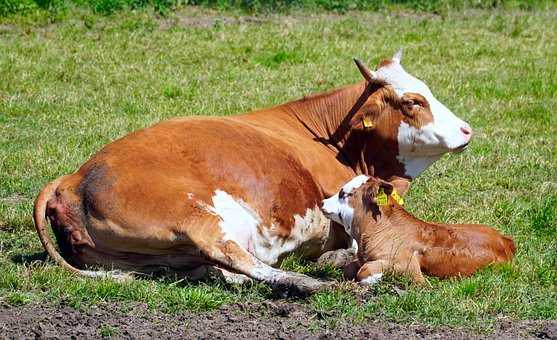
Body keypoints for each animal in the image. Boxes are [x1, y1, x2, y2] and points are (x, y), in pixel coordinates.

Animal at [32, 49, 472, 294]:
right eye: (413, 102)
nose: (467, 129)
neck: (335, 137)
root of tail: (72, 178)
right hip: (197, 216)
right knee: (235, 256)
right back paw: (313, 283)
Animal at [320, 175, 516, 284]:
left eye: (343, 194)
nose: (322, 202)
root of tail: (504, 240)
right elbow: (349, 268)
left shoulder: (408, 267)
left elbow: (365, 271)